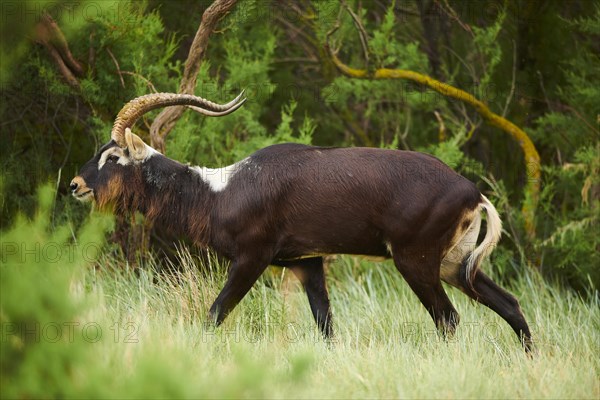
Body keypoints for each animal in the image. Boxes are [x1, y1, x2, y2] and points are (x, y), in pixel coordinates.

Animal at [71, 90, 536, 350]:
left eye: (113, 156)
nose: (75, 184)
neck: (222, 190)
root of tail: (473, 193)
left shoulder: (252, 260)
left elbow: (214, 313)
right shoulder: (307, 263)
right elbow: (325, 326)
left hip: (417, 263)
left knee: (448, 319)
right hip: (455, 266)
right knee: (508, 303)